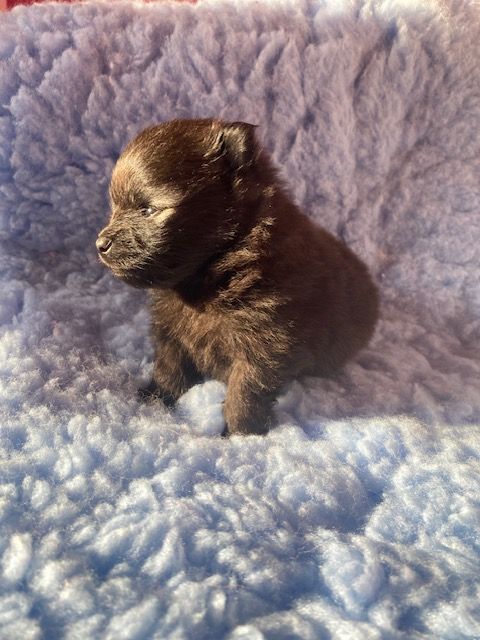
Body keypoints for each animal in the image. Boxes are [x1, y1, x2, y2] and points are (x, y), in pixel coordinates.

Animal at [96, 119, 379, 435]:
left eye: (148, 209)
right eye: (115, 208)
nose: (100, 244)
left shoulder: (267, 340)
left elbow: (246, 390)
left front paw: (241, 433)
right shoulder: (170, 327)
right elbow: (169, 363)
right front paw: (159, 396)